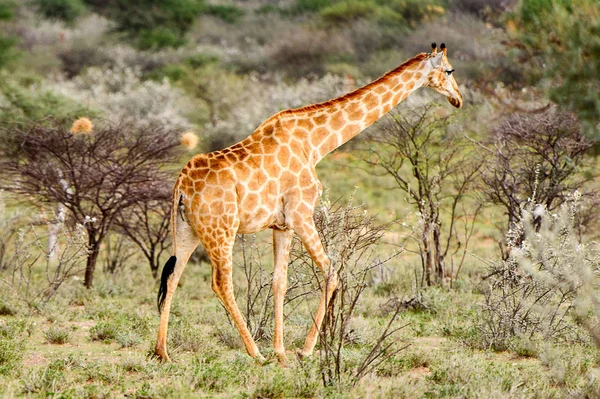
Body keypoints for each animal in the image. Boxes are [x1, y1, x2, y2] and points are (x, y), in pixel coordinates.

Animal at [155, 42, 464, 364]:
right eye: (449, 70)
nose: (458, 99)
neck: (315, 143)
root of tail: (181, 186)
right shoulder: (301, 214)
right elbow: (331, 272)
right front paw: (304, 350)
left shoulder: (282, 225)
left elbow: (280, 281)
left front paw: (281, 352)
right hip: (221, 231)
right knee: (220, 283)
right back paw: (254, 352)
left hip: (186, 230)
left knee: (173, 276)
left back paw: (163, 351)